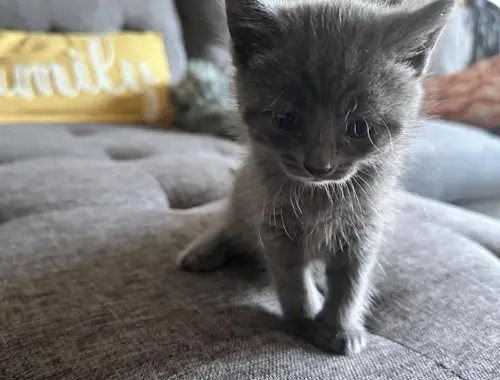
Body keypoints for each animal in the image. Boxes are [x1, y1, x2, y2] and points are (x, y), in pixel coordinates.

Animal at [178, 0, 456, 354]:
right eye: (285, 120)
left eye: (359, 128)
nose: (319, 167)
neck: (320, 196)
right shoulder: (273, 222)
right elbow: (291, 276)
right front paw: (303, 317)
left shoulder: (364, 228)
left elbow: (351, 281)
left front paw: (340, 327)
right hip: (244, 192)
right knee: (231, 224)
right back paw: (202, 250)